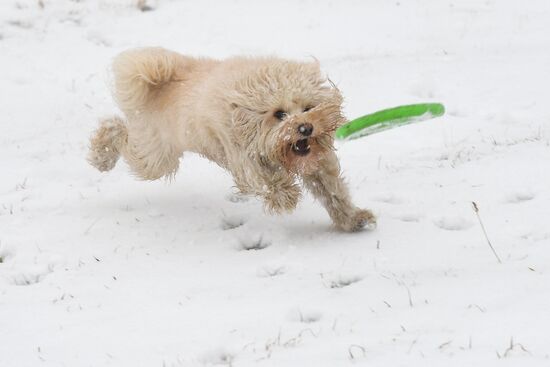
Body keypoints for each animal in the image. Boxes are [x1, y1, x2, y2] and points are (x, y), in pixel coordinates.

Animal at [88, 47, 378, 231]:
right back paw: (101, 156)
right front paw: (285, 197)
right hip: (155, 156)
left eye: (308, 108)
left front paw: (353, 218)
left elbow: (333, 192)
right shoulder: (242, 157)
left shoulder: (317, 163)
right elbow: (268, 179)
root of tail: (159, 81)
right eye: (279, 114)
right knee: (115, 128)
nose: (305, 128)